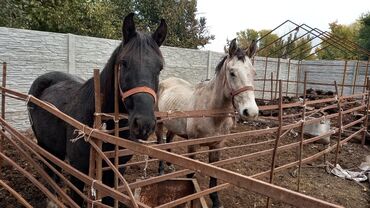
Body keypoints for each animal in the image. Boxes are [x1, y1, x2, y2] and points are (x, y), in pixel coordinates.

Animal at [28, 13, 167, 206]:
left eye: (160, 68)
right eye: (124, 63)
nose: (144, 124)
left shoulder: (116, 172)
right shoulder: (79, 171)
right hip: (44, 144)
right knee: (50, 170)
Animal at [155, 39, 258, 208]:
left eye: (254, 73)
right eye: (232, 73)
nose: (251, 111)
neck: (210, 111)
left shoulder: (216, 145)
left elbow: (214, 175)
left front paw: (216, 201)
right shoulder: (192, 143)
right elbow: (190, 172)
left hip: (173, 126)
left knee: (169, 139)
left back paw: (170, 165)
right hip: (159, 123)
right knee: (160, 142)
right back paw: (161, 169)